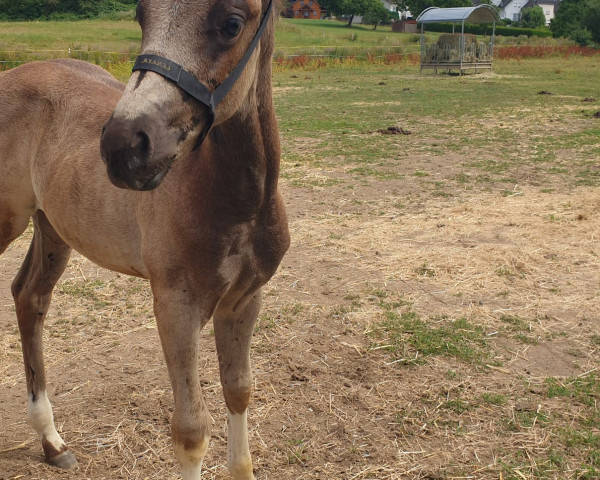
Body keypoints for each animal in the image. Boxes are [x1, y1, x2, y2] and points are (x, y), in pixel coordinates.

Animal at [0, 0, 290, 480]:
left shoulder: (244, 299)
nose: (122, 146)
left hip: (52, 227)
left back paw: (52, 441)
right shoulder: (176, 304)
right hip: (9, 219)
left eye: (231, 23)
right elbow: (191, 431)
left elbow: (239, 391)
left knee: (29, 297)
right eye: (141, 15)